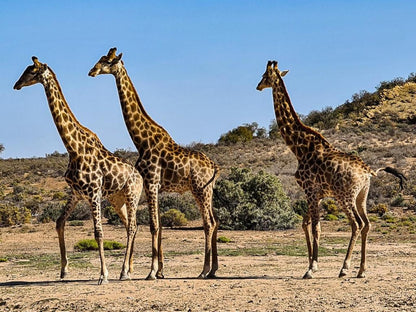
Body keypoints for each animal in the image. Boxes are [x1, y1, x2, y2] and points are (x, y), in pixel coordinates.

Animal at [13, 56, 144, 286]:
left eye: (32, 71)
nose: (16, 84)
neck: (73, 148)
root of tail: (140, 176)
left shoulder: (93, 193)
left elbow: (98, 233)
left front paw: (103, 275)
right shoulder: (75, 193)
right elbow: (59, 223)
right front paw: (64, 270)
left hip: (132, 194)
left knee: (131, 227)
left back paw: (123, 272)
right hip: (116, 199)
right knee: (131, 225)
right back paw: (128, 269)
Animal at [89, 47, 221, 280]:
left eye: (107, 61)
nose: (92, 71)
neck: (142, 141)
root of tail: (213, 167)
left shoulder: (150, 183)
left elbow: (153, 225)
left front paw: (151, 272)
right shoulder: (155, 186)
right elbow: (158, 226)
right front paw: (159, 271)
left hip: (200, 190)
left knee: (209, 223)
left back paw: (204, 270)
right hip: (209, 191)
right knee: (215, 221)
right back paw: (213, 269)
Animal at [256, 60, 406, 278]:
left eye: (264, 76)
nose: (258, 86)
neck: (298, 148)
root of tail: (368, 172)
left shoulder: (310, 190)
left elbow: (316, 227)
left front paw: (312, 268)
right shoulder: (316, 194)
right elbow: (306, 224)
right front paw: (310, 264)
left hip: (345, 196)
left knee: (357, 224)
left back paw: (345, 267)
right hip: (362, 195)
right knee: (367, 224)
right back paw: (361, 270)